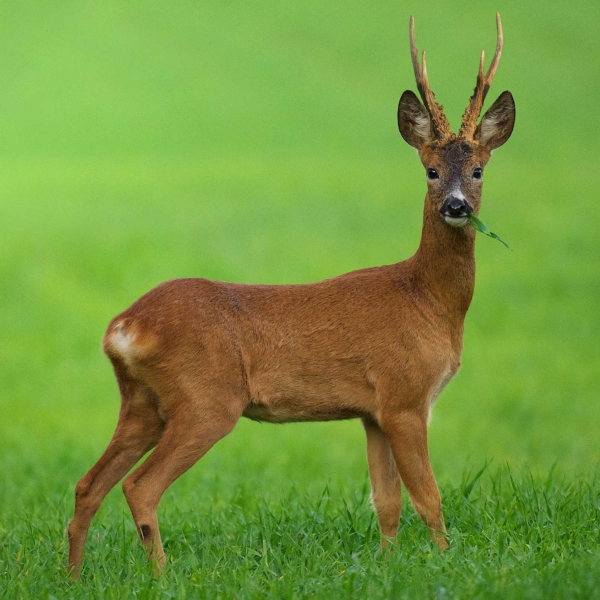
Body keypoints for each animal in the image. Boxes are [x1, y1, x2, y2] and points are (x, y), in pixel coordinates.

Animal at [67, 13, 515, 578]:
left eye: (478, 170)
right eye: (431, 171)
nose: (456, 206)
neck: (427, 301)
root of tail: (124, 326)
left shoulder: (372, 412)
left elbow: (386, 502)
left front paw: (387, 566)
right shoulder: (406, 396)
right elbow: (428, 496)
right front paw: (443, 563)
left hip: (142, 401)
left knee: (88, 484)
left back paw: (72, 575)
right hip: (205, 400)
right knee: (139, 486)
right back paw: (162, 576)